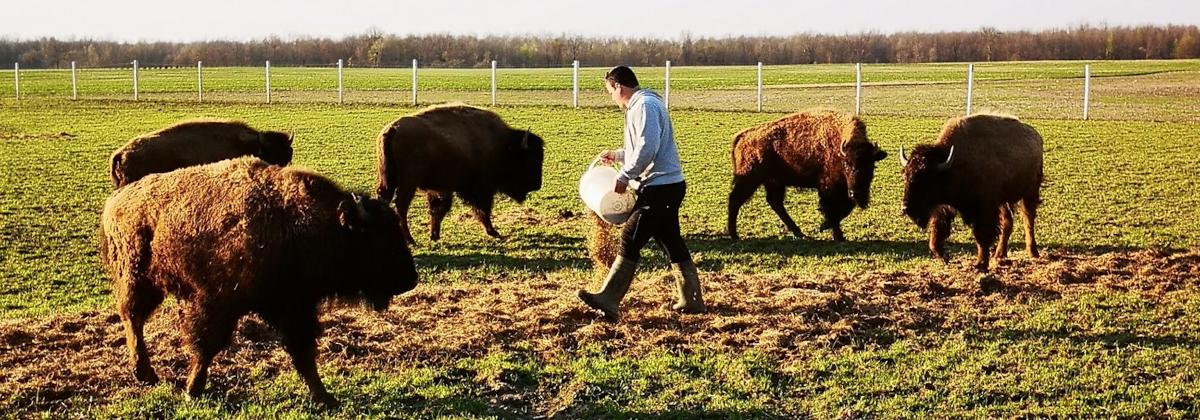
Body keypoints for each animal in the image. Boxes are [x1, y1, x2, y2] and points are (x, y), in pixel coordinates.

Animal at [100, 157, 417, 406]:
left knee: (134, 319)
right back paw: (145, 373)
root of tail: (115, 202)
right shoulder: (218, 303)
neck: (297, 223)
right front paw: (193, 390)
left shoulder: (293, 307)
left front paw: (325, 398)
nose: (411, 279)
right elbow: (206, 346)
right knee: (133, 320)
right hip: (138, 280)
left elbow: (303, 354)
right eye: (378, 238)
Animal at [375, 104, 545, 243]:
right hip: (408, 183)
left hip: (388, 179)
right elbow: (483, 209)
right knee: (401, 205)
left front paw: (434, 236)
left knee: (385, 198)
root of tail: (393, 129)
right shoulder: (481, 189)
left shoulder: (441, 188)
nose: (537, 185)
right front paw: (493, 232)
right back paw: (410, 240)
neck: (502, 146)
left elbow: (438, 209)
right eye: (528, 159)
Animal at [728, 110, 887, 241]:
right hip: (750, 180)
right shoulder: (829, 188)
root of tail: (743, 136)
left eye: (871, 165)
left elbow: (845, 209)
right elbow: (832, 211)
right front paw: (834, 233)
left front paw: (829, 229)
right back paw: (734, 235)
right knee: (735, 200)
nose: (856, 193)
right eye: (847, 164)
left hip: (774, 181)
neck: (840, 149)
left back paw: (799, 233)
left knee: (775, 203)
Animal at [899, 113, 1044, 271]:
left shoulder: (984, 210)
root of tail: (1036, 137)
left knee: (1028, 220)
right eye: (905, 175)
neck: (951, 166)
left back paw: (1033, 252)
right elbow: (936, 235)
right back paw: (1000, 255)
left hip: (1030, 193)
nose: (906, 208)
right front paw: (945, 257)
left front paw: (980, 264)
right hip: (1005, 201)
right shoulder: (945, 208)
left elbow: (982, 237)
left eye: (927, 180)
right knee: (1007, 222)